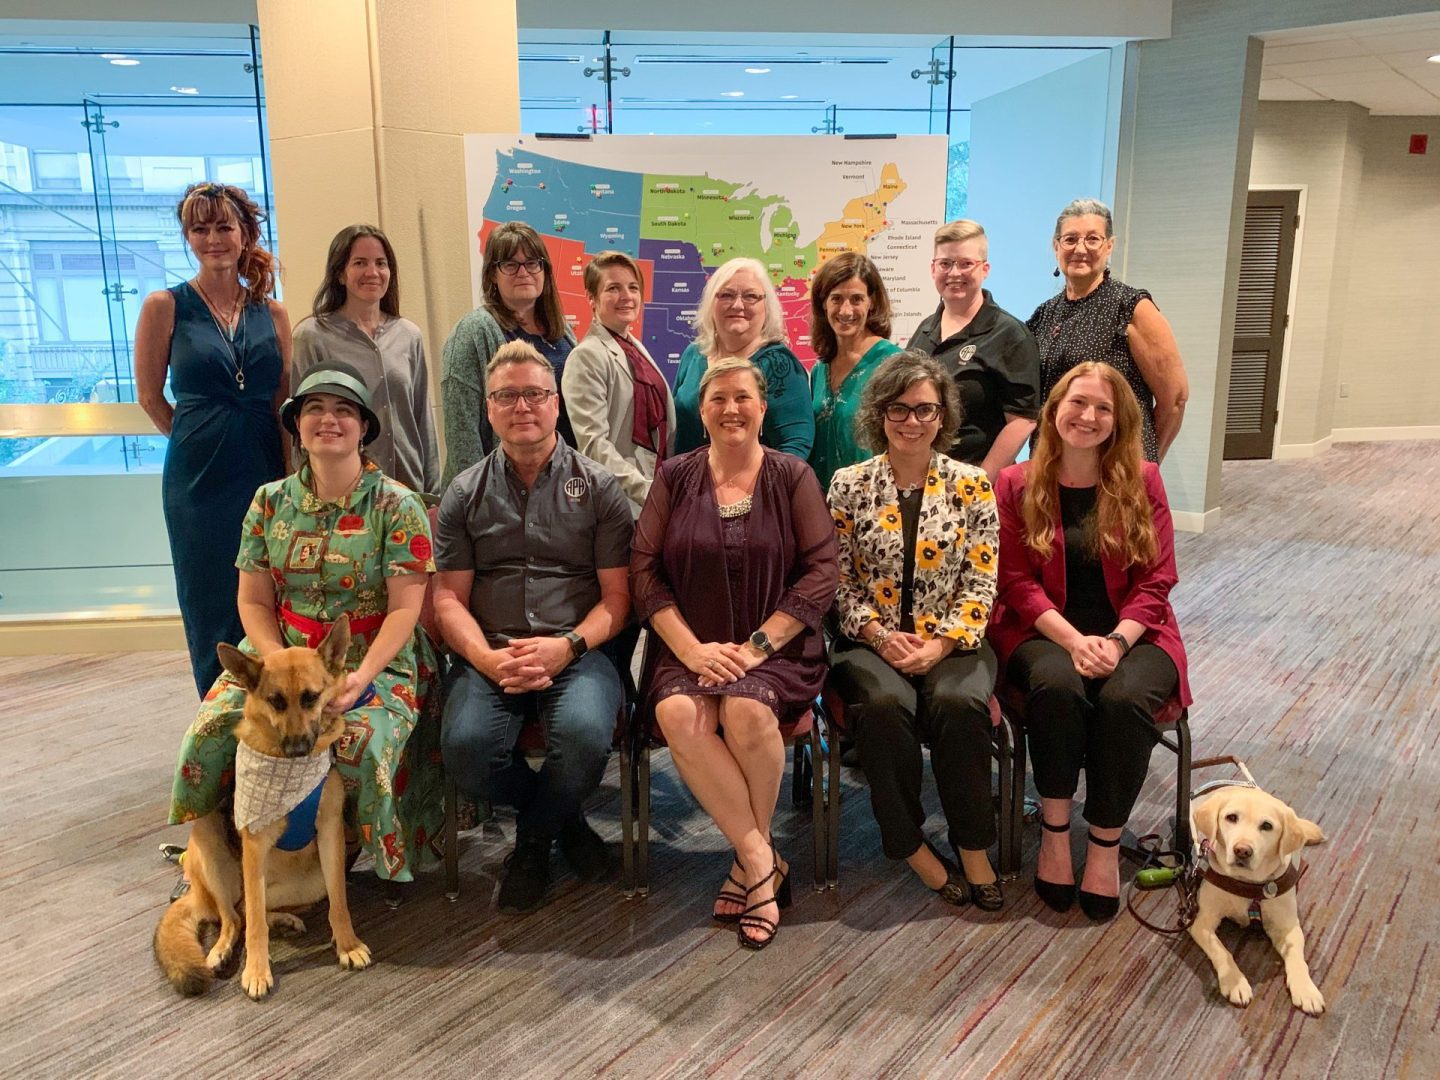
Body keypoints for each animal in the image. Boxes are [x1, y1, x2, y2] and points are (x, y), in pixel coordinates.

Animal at [152, 622, 374, 1002]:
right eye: (276, 701)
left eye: (311, 697)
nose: (298, 748)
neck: (288, 769)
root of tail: (197, 891)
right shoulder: (255, 847)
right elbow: (254, 923)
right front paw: (256, 971)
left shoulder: (330, 835)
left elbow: (340, 903)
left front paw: (347, 945)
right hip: (211, 847)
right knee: (235, 917)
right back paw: (223, 949)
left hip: (312, 882)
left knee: (248, 909)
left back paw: (285, 921)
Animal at [1192, 771, 1324, 1019]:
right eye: (1231, 817)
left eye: (1267, 826)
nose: (1242, 850)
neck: (1247, 884)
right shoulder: (1201, 921)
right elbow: (1222, 951)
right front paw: (1235, 981)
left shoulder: (1288, 927)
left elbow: (1298, 958)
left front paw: (1306, 989)